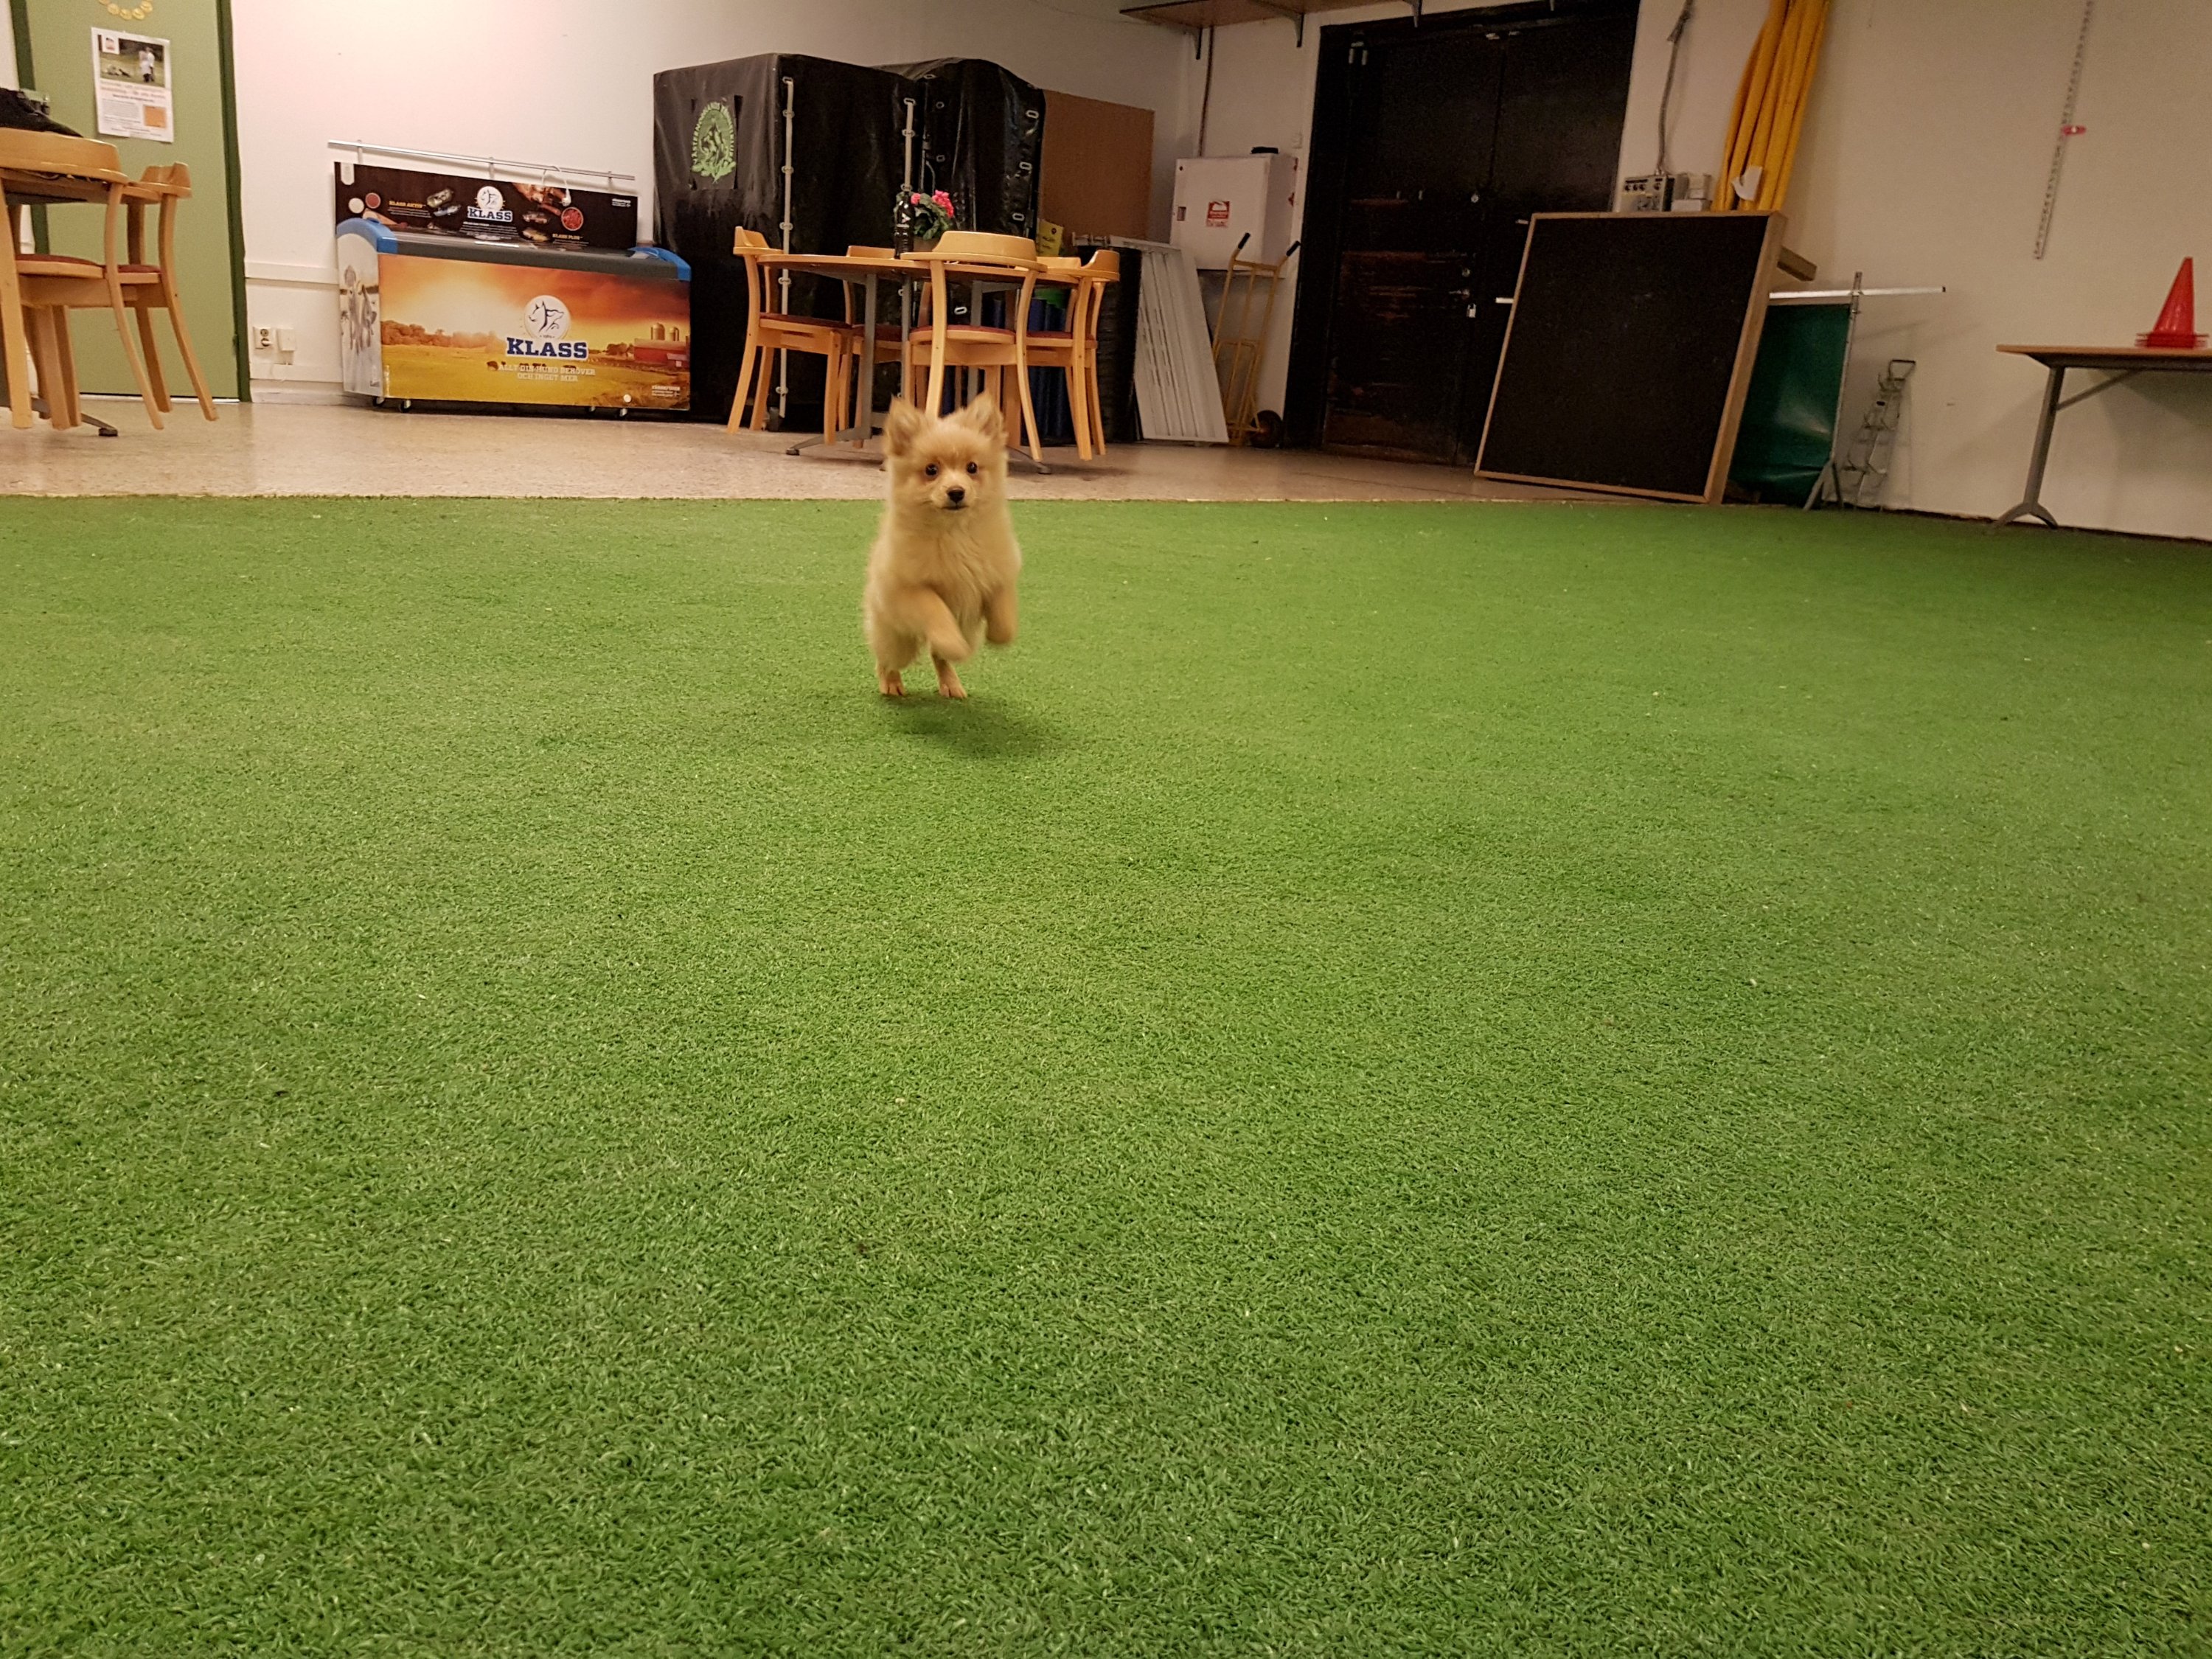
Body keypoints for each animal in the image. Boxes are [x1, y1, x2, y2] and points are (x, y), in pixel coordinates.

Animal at [863, 393, 1021, 699]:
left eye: (972, 468)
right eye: (931, 470)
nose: (956, 492)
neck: (955, 534)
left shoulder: (998, 572)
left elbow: (1004, 613)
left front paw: (998, 635)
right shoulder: (909, 588)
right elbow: (935, 609)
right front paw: (954, 643)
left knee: (938, 657)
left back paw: (951, 683)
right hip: (896, 638)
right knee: (886, 657)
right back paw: (891, 682)